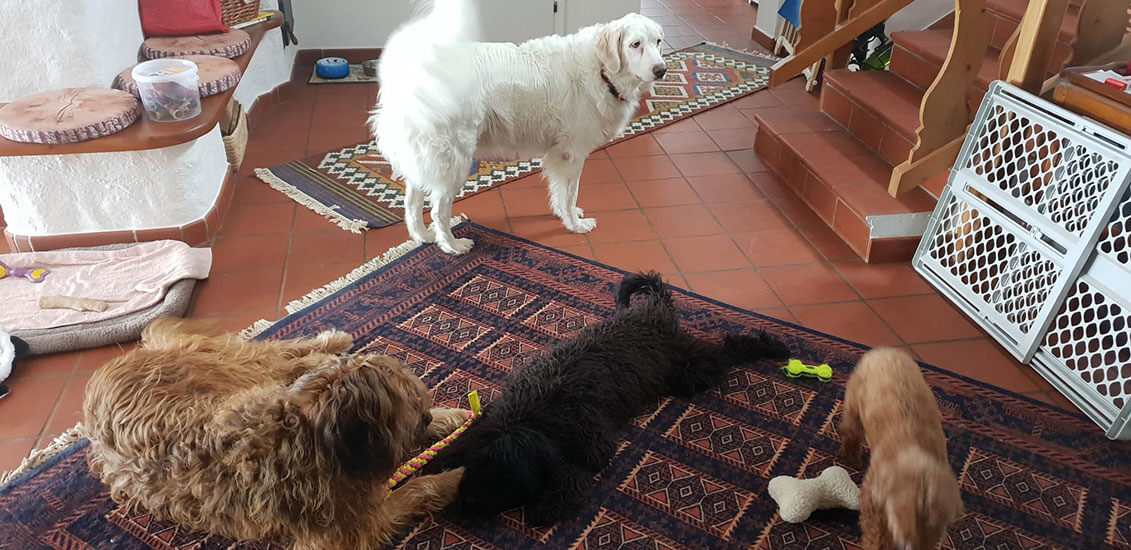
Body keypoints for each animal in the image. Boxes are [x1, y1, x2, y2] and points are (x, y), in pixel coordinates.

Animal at [83, 319, 470, 549]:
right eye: (409, 399)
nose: (425, 416)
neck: (313, 433)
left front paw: (449, 419)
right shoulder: (349, 531)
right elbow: (413, 492)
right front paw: (452, 478)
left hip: (241, 374)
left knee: (284, 355)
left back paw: (332, 340)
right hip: (238, 372)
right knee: (282, 357)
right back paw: (330, 342)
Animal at [372, 0, 666, 254]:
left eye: (658, 41)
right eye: (635, 44)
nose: (661, 70)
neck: (600, 68)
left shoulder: (558, 155)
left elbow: (561, 193)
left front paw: (565, 214)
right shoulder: (572, 154)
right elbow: (570, 194)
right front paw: (575, 224)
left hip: (425, 159)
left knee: (412, 204)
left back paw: (424, 236)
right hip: (453, 161)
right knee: (437, 211)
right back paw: (452, 246)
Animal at [420, 272, 790, 526]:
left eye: (505, 475)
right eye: (477, 467)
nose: (466, 503)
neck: (531, 416)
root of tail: (653, 311)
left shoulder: (591, 445)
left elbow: (572, 471)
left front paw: (551, 504)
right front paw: (437, 461)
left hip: (689, 369)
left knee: (728, 349)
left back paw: (770, 346)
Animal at [839, 348, 964, 550]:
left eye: (934, 539)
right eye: (906, 542)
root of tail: (884, 351)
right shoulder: (873, 498)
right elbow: (876, 531)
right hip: (854, 404)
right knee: (852, 433)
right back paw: (853, 458)